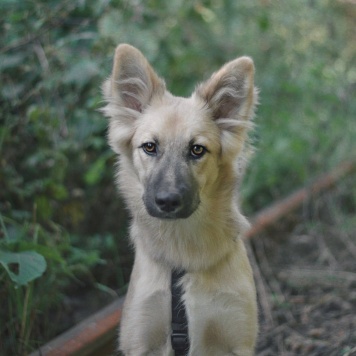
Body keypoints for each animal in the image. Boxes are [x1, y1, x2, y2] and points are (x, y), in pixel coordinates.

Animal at [101, 43, 258, 354]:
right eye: (150, 147)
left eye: (197, 149)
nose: (168, 201)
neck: (182, 253)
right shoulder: (141, 337)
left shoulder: (237, 336)